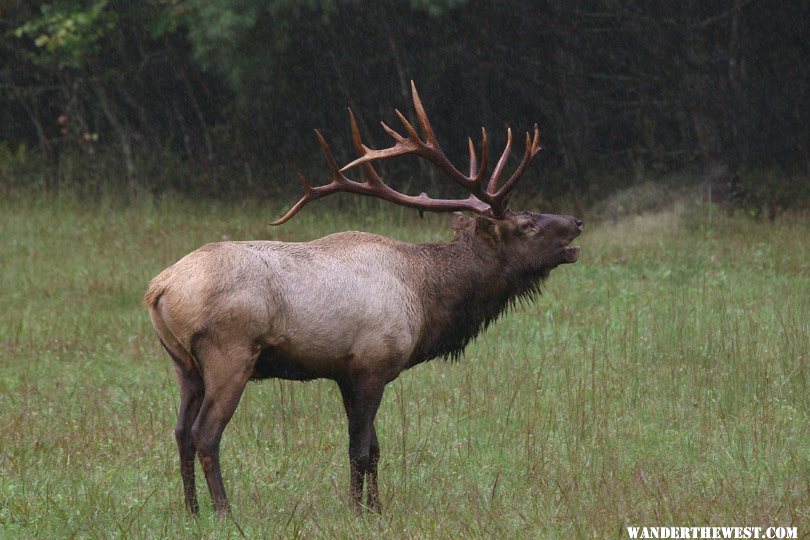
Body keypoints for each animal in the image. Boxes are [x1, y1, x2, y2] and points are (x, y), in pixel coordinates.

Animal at [145, 83, 580, 516]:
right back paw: (223, 511)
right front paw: (357, 511)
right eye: (526, 224)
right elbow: (359, 448)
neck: (426, 299)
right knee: (205, 433)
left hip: (183, 365)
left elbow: (373, 447)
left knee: (180, 431)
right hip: (229, 353)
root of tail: (159, 288)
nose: (576, 222)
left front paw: (376, 507)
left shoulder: (346, 372)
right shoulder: (373, 363)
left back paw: (192, 509)